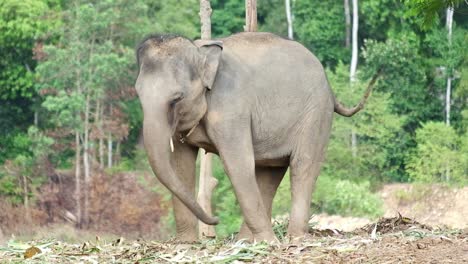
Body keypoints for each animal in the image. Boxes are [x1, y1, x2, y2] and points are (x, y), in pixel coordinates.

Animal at [134, 32, 376, 242]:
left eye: (177, 98)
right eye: (138, 94)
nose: (215, 221)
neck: (198, 50)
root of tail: (331, 89)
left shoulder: (231, 108)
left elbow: (238, 164)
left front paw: (270, 243)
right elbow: (181, 165)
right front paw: (186, 244)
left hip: (316, 115)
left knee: (303, 166)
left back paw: (292, 239)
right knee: (269, 173)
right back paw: (247, 241)